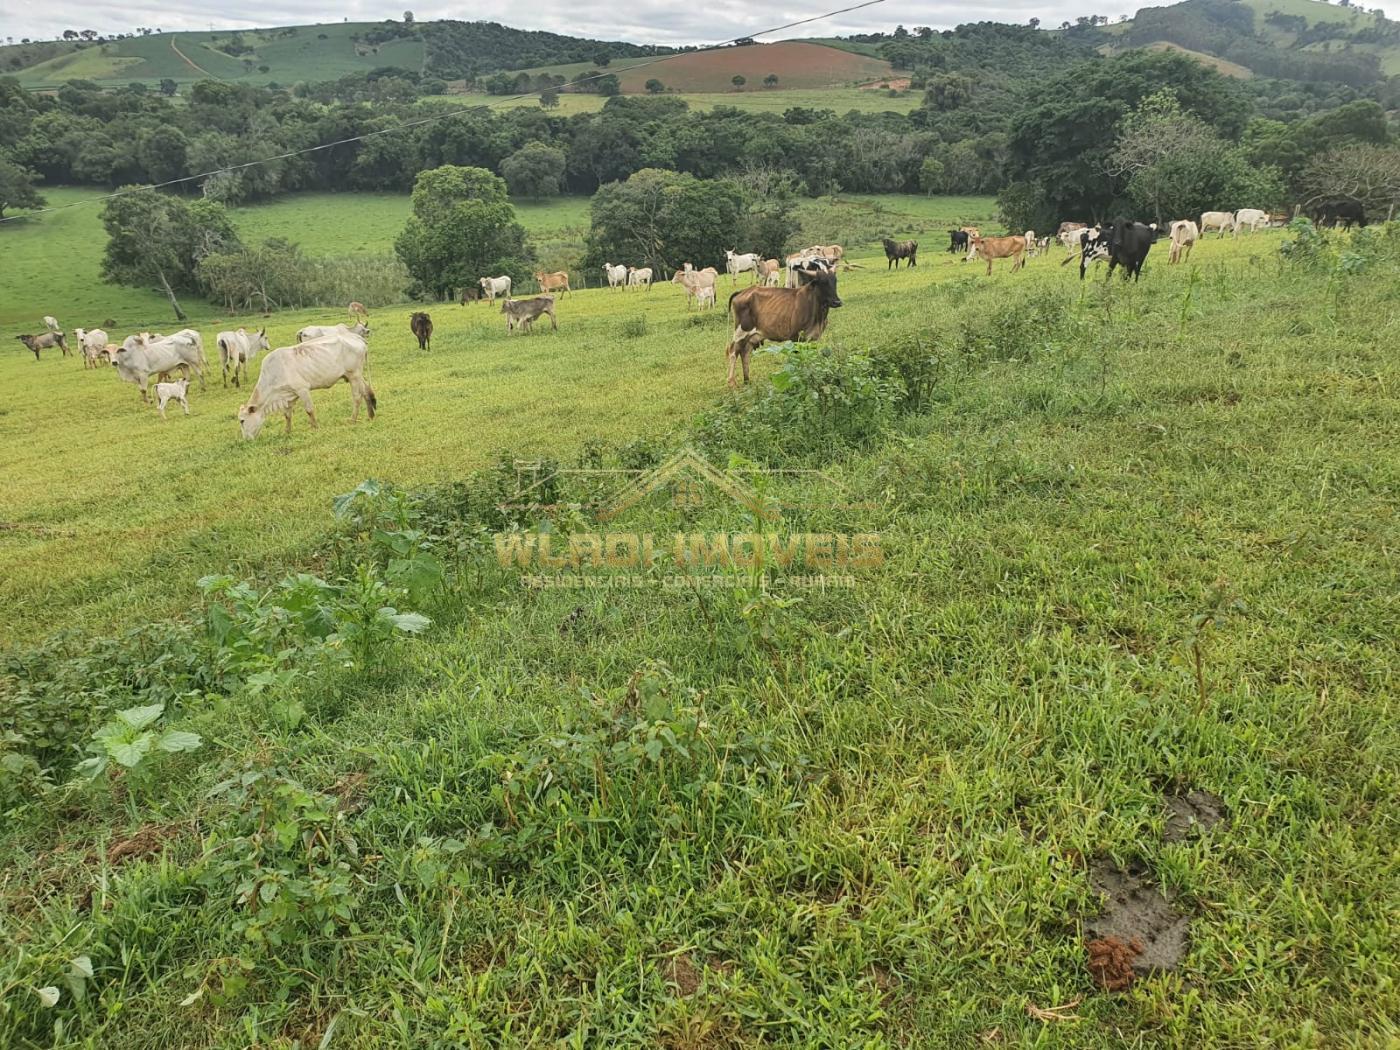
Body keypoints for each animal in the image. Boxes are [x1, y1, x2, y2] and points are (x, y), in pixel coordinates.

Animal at [239, 333, 378, 439]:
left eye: (242, 420)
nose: (246, 440)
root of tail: (355, 336)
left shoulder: (302, 389)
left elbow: (309, 410)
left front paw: (315, 427)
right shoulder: (289, 395)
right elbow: (287, 415)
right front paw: (287, 432)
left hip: (354, 374)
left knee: (357, 397)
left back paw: (353, 420)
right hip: (355, 376)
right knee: (366, 391)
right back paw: (370, 416)